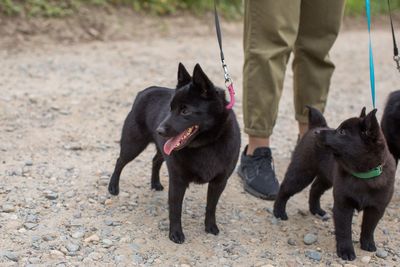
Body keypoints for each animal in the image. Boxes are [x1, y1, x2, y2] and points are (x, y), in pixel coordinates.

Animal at [108, 62, 241, 245]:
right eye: (170, 108)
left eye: (185, 111)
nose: (159, 130)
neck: (206, 145)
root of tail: (145, 91)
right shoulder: (178, 181)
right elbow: (175, 210)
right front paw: (176, 233)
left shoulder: (219, 182)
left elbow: (211, 206)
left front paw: (210, 226)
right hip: (133, 145)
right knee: (120, 161)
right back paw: (113, 187)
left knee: (155, 160)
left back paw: (155, 183)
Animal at [274, 107, 396, 262]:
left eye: (342, 132)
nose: (317, 133)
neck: (362, 175)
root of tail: (317, 126)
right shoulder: (343, 205)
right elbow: (344, 231)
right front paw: (346, 251)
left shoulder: (376, 208)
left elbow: (369, 228)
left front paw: (368, 244)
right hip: (302, 173)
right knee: (285, 189)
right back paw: (278, 211)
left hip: (326, 178)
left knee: (315, 189)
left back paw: (316, 210)